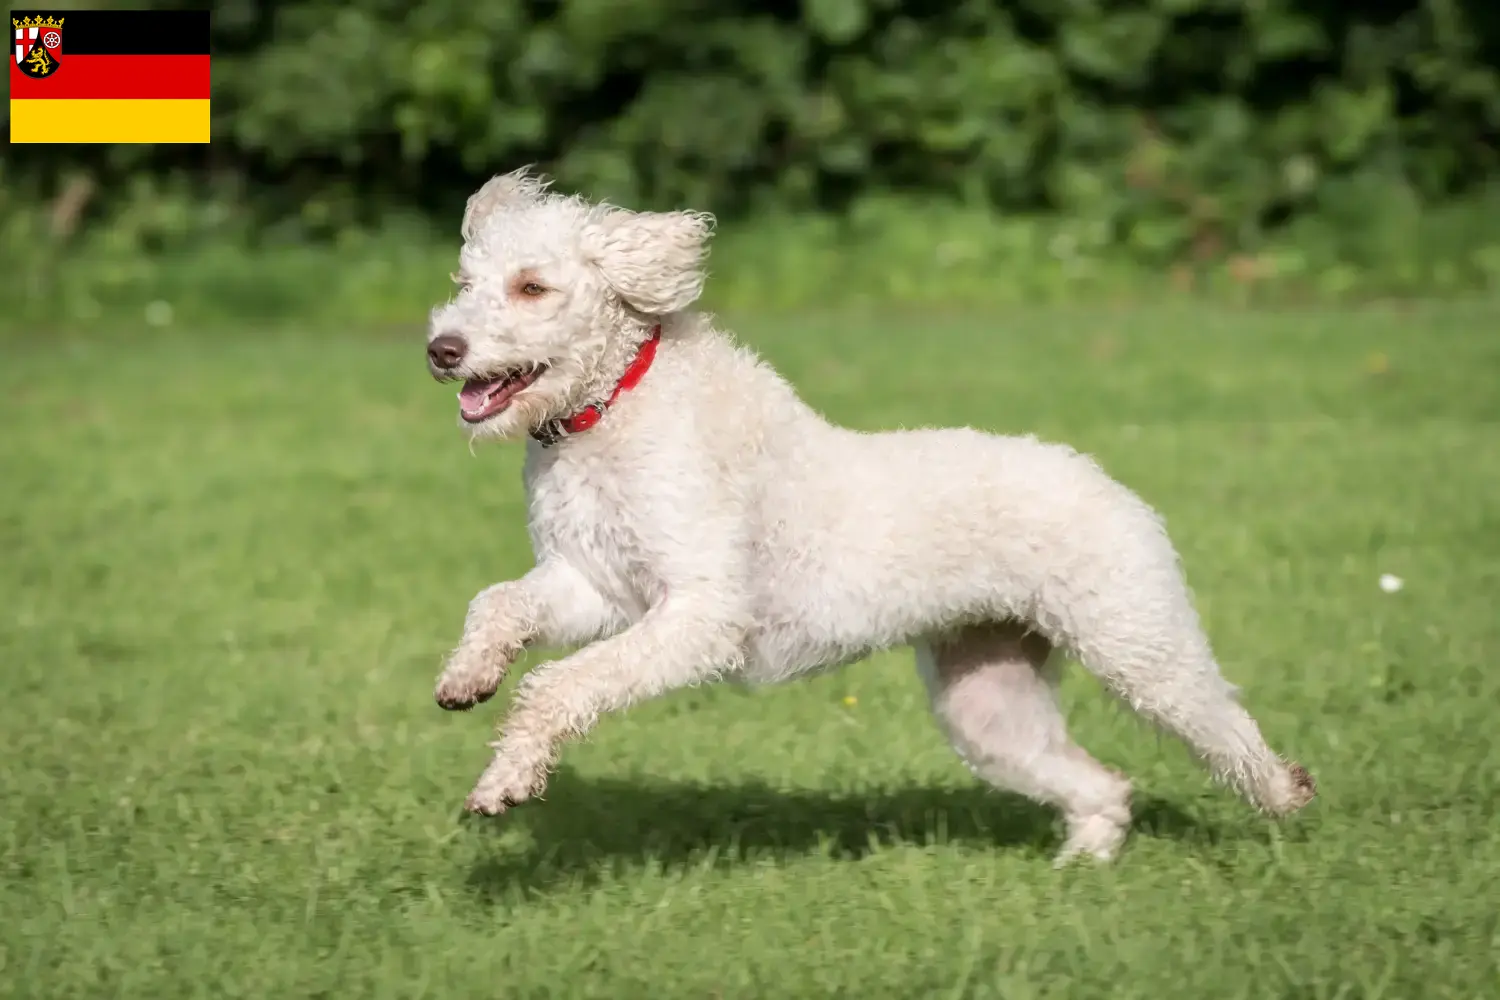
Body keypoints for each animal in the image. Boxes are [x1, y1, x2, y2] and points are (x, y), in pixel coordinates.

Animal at [423, 167, 1314, 863]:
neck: (613, 405)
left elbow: (558, 686)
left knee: (1223, 724)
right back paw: (1087, 860)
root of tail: (1103, 477)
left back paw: (1285, 797)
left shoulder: (701, 614)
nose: (442, 350)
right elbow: (497, 606)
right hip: (986, 698)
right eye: (464, 285)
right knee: (1101, 783)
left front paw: (509, 776)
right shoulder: (597, 585)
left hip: (1137, 641)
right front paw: (468, 681)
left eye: (532, 286)